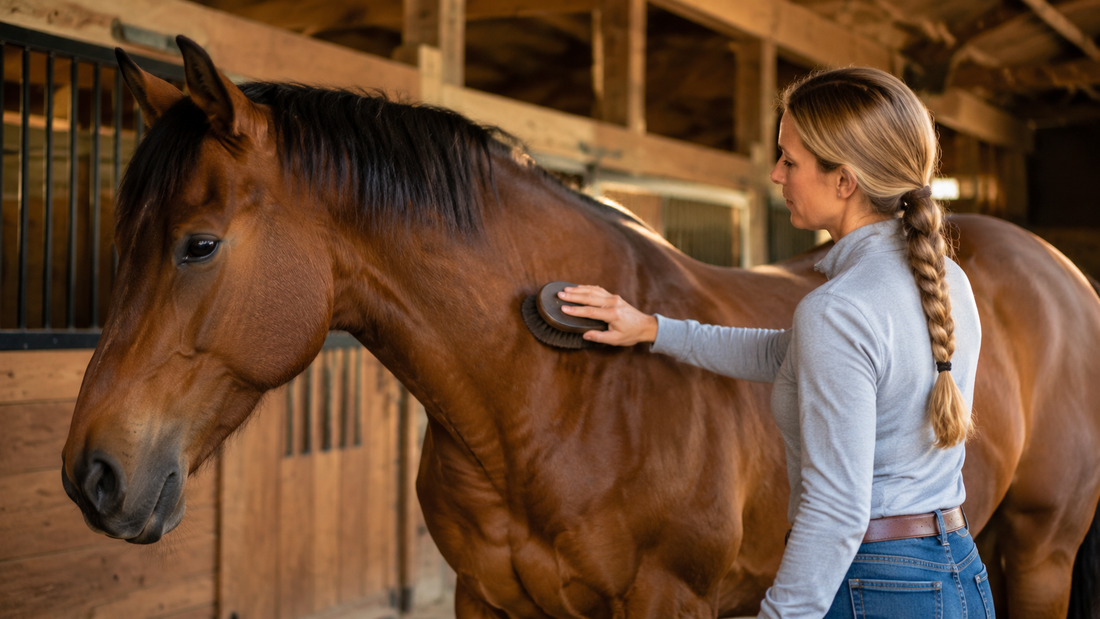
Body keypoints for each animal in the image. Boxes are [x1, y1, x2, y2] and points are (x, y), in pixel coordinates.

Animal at [61, 37, 1100, 618]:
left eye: (197, 244)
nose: (91, 476)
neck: (558, 393)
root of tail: (1060, 273)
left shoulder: (667, 603)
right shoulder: (487, 599)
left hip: (1041, 552)